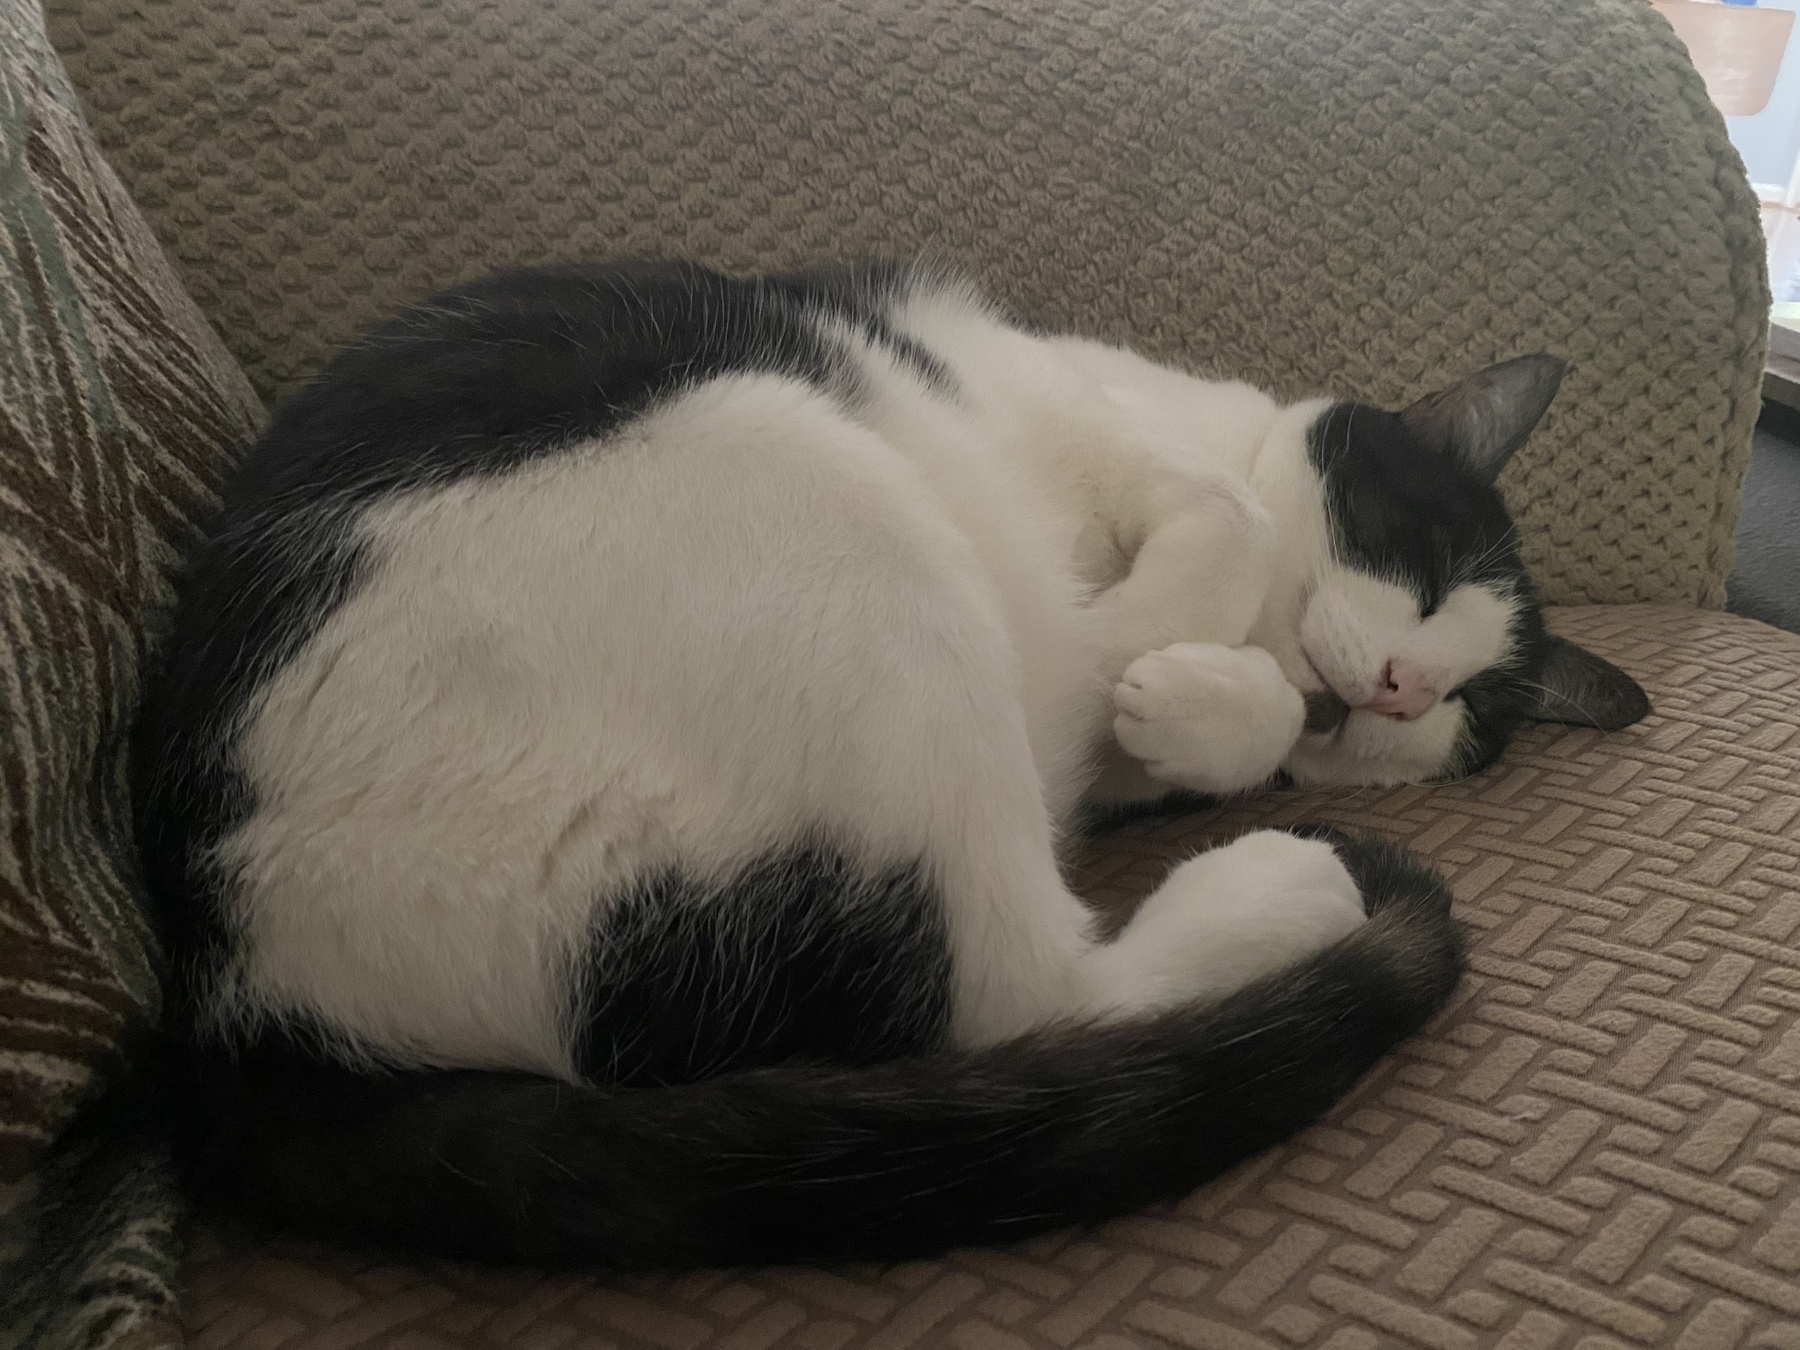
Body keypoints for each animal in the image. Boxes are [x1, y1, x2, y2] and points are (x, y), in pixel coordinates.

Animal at [133, 259, 1648, 1274]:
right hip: (822, 493)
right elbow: (1228, 521)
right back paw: (1283, 859)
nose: (1405, 685)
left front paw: (1199, 707)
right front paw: (1142, 657)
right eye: (1426, 566)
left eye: (1473, 710)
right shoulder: (1086, 414)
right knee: (1023, 986)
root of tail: (245, 1009)